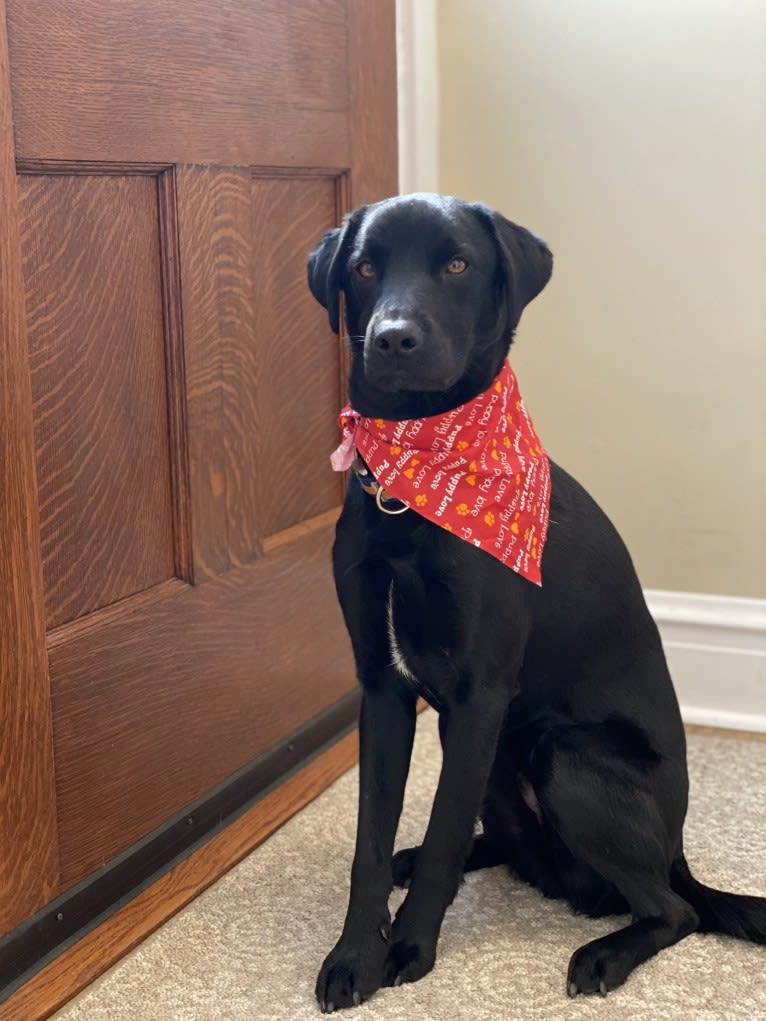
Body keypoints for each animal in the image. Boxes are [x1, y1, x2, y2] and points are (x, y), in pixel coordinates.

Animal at [308, 195, 766, 1008]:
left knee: (673, 910)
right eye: (363, 267)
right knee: (496, 842)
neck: (416, 487)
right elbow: (370, 841)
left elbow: (442, 835)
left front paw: (410, 950)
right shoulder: (385, 691)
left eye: (457, 263)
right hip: (493, 756)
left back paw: (605, 955)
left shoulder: (479, 695)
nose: (393, 338)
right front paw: (356, 952)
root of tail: (679, 852)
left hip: (559, 753)